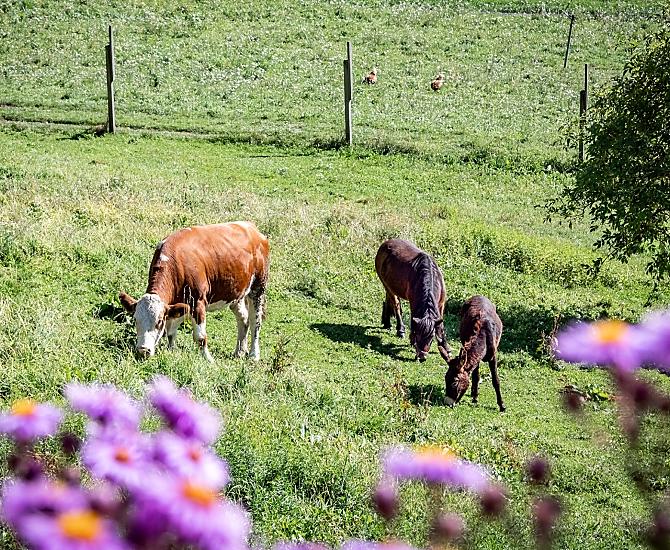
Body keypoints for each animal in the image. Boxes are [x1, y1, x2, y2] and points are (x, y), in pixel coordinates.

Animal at [119, 221, 269, 362]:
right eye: (135, 319)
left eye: (159, 321)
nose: (143, 350)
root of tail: (251, 227)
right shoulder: (178, 304)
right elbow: (171, 332)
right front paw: (172, 351)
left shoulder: (198, 302)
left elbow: (200, 337)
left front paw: (209, 360)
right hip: (236, 293)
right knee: (243, 318)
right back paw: (239, 352)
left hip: (258, 287)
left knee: (255, 321)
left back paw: (254, 355)